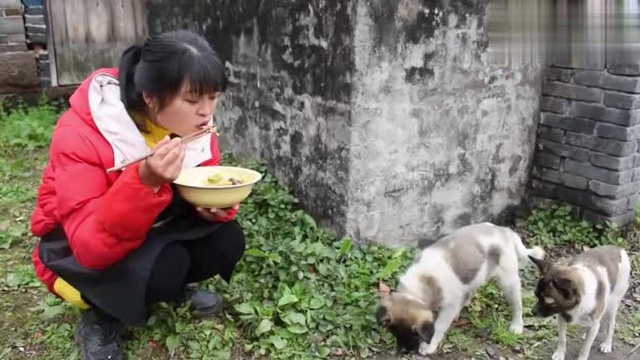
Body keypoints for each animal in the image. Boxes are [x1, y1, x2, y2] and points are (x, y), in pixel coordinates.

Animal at [376, 222, 544, 354]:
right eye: (395, 333)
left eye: (414, 334)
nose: (404, 351)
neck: (417, 289)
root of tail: (505, 231)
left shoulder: (448, 306)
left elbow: (439, 326)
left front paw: (429, 346)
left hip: (508, 280)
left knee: (517, 304)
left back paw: (517, 325)